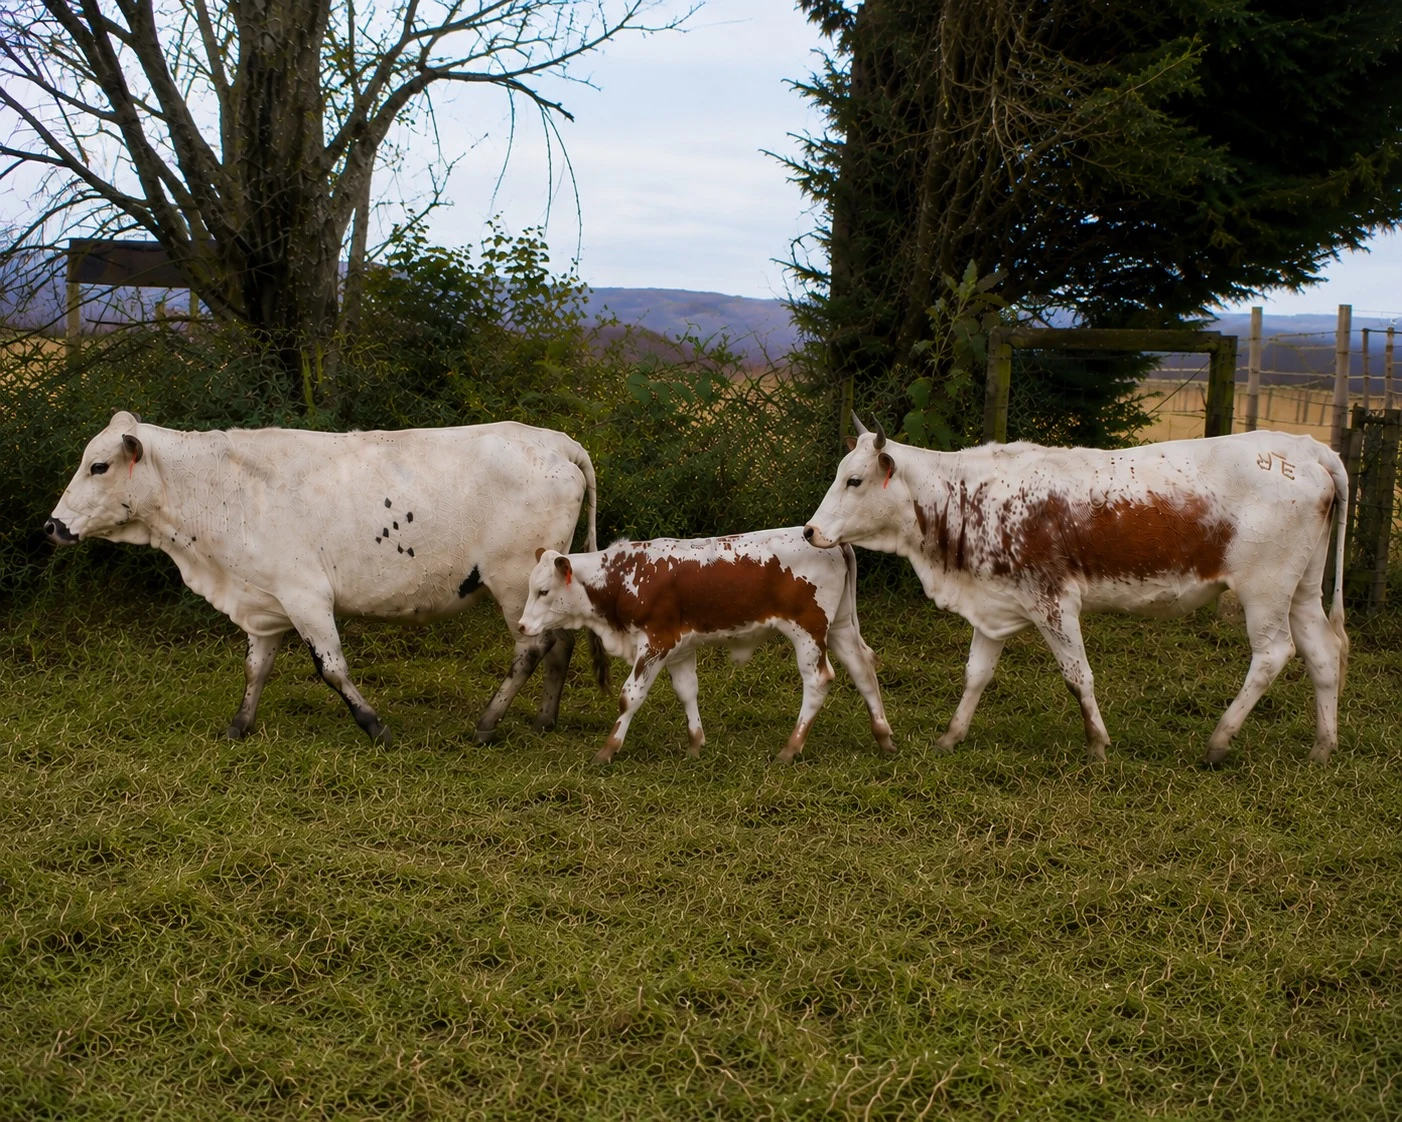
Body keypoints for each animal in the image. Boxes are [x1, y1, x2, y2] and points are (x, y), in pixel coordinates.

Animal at [46, 412, 608, 744]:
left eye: (98, 466)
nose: (52, 526)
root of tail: (556, 441)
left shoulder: (306, 597)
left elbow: (332, 668)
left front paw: (374, 725)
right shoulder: (265, 601)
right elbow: (255, 668)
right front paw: (239, 726)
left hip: (514, 583)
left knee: (531, 651)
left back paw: (488, 724)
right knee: (559, 645)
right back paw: (545, 719)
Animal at [517, 528, 895, 764]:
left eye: (544, 591)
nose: (522, 626)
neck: (625, 576)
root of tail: (834, 542)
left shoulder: (655, 643)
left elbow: (630, 697)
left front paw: (607, 750)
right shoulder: (680, 648)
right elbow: (687, 691)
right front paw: (695, 745)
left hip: (808, 630)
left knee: (818, 680)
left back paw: (791, 748)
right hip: (840, 626)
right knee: (862, 669)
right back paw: (883, 738)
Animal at [803, 416, 1349, 765]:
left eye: (854, 480)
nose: (810, 531)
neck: (970, 495)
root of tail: (1308, 448)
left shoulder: (1053, 603)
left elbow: (1077, 676)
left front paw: (1097, 743)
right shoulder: (993, 603)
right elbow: (976, 674)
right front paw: (950, 737)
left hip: (1265, 590)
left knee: (1273, 654)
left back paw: (1219, 740)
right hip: (1302, 590)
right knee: (1322, 652)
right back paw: (1322, 747)